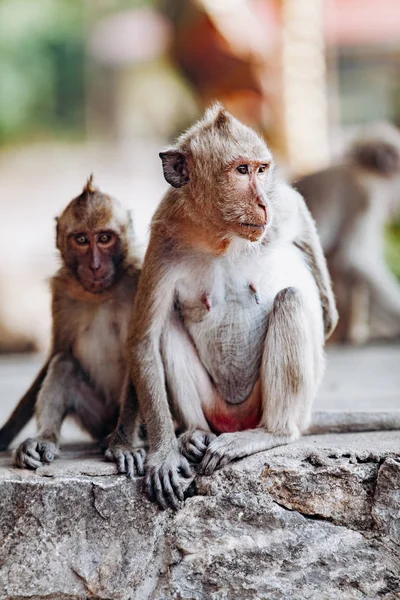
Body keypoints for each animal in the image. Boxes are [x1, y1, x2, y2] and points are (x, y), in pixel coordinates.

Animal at [0, 176, 144, 476]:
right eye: (81, 240)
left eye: (104, 238)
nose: (95, 266)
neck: (101, 293)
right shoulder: (62, 292)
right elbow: (57, 353)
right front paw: (5, 434)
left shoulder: (139, 281)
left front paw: (123, 446)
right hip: (96, 418)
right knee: (64, 363)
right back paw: (44, 440)